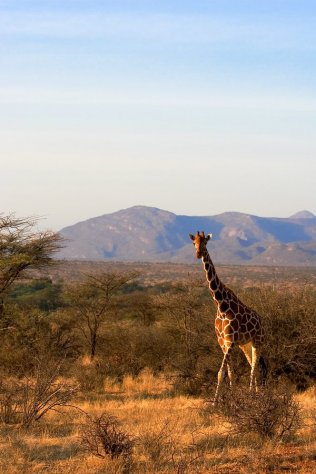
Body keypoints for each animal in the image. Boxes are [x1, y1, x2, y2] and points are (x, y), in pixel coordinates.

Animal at [190, 231, 266, 402]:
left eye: (205, 242)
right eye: (194, 243)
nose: (198, 254)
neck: (221, 305)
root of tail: (261, 321)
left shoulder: (230, 341)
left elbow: (221, 373)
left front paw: (215, 403)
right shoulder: (222, 342)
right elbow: (230, 373)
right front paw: (231, 397)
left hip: (258, 341)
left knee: (254, 368)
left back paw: (252, 395)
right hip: (245, 344)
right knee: (254, 366)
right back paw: (256, 393)